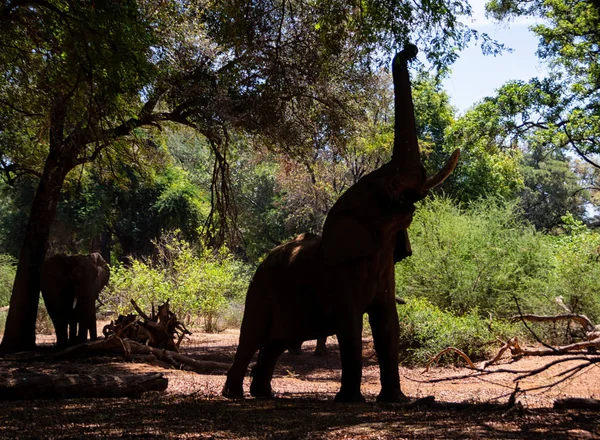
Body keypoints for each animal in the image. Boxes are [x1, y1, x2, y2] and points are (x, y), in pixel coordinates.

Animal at [220, 43, 460, 402]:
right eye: (384, 187)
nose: (410, 49)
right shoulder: (343, 274)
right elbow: (351, 324)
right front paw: (351, 401)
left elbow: (388, 323)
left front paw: (395, 401)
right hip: (259, 288)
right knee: (251, 337)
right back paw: (234, 394)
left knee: (275, 343)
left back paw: (264, 394)